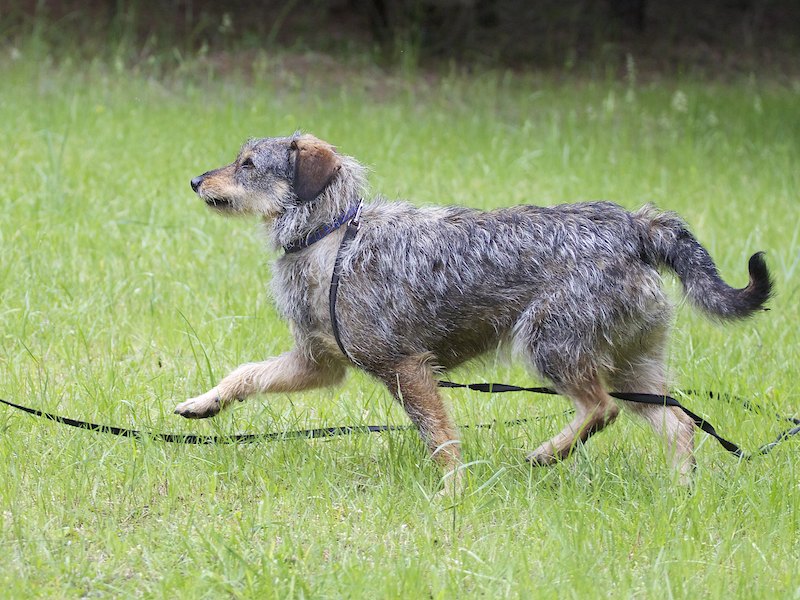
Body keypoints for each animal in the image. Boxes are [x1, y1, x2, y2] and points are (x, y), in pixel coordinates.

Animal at [175, 133, 772, 492]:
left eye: (248, 164)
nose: (195, 180)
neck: (331, 237)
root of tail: (635, 226)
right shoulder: (318, 363)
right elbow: (245, 374)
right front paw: (204, 403)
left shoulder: (406, 369)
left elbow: (442, 441)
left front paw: (453, 495)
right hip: (631, 369)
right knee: (678, 425)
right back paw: (680, 492)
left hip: (549, 345)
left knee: (600, 410)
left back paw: (546, 455)